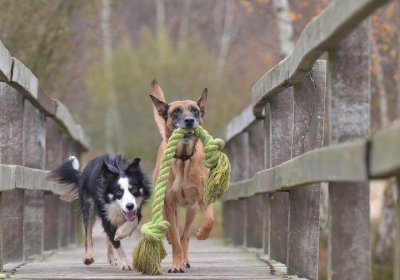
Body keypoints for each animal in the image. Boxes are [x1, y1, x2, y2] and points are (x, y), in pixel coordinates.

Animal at [149, 80, 214, 272]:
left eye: (195, 110)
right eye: (176, 111)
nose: (189, 120)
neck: (184, 158)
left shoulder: (203, 198)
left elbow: (209, 220)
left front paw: (202, 233)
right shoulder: (168, 203)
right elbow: (175, 237)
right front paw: (176, 264)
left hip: (191, 210)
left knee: (185, 235)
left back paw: (186, 258)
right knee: (177, 233)